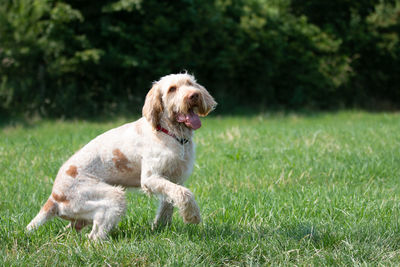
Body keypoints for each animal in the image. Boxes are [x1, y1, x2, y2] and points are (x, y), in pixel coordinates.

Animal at [26, 73, 217, 241]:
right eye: (172, 89)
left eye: (190, 83)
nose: (194, 95)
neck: (170, 133)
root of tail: (54, 197)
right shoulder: (150, 178)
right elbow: (185, 194)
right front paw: (193, 216)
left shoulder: (174, 178)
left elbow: (168, 204)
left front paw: (160, 229)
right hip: (113, 198)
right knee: (93, 238)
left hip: (83, 215)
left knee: (74, 229)